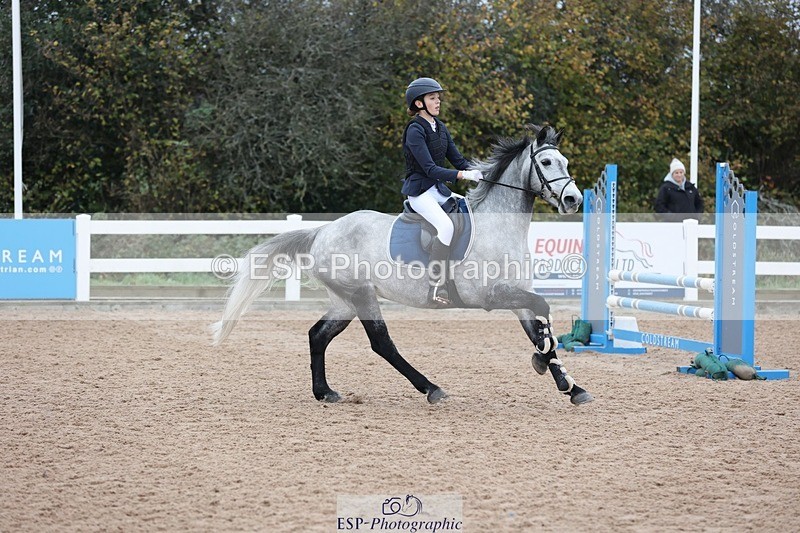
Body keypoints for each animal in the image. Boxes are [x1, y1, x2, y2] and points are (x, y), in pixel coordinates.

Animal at [211, 125, 594, 405]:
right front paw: (545, 364)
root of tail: (323, 231)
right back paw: (431, 389)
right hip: (362, 294)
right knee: (382, 343)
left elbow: (540, 323)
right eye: (547, 163)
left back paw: (325, 392)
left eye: (565, 161)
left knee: (317, 335)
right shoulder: (490, 296)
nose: (573, 200)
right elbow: (543, 309)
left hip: (345, 300)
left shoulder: (516, 295)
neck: (498, 227)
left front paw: (570, 386)